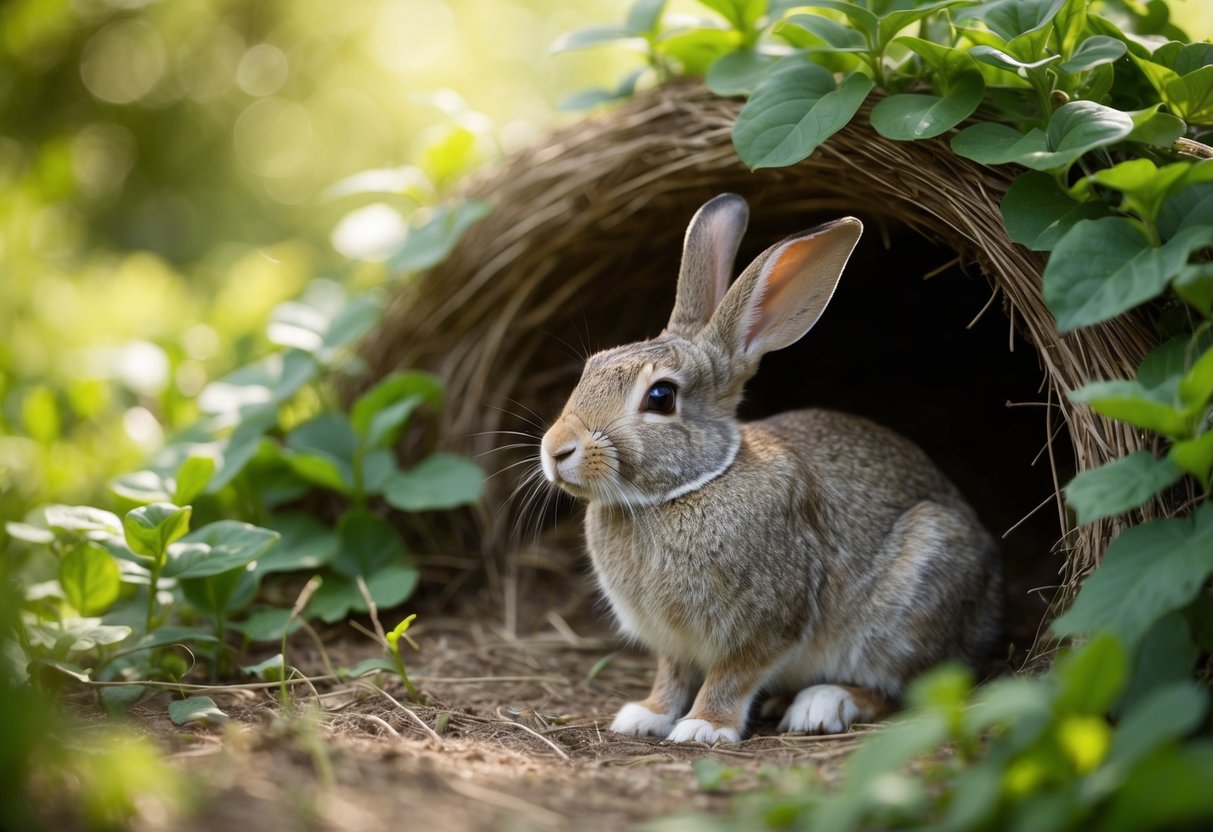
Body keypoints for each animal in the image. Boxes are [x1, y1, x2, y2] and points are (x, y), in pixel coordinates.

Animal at [539, 193, 1003, 744]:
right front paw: (646, 715)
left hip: (910, 602)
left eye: (661, 397)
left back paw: (821, 704)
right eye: (592, 368)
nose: (556, 450)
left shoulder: (770, 620)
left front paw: (703, 727)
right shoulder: (672, 643)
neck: (688, 486)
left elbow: (733, 674)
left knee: (905, 690)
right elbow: (671, 675)